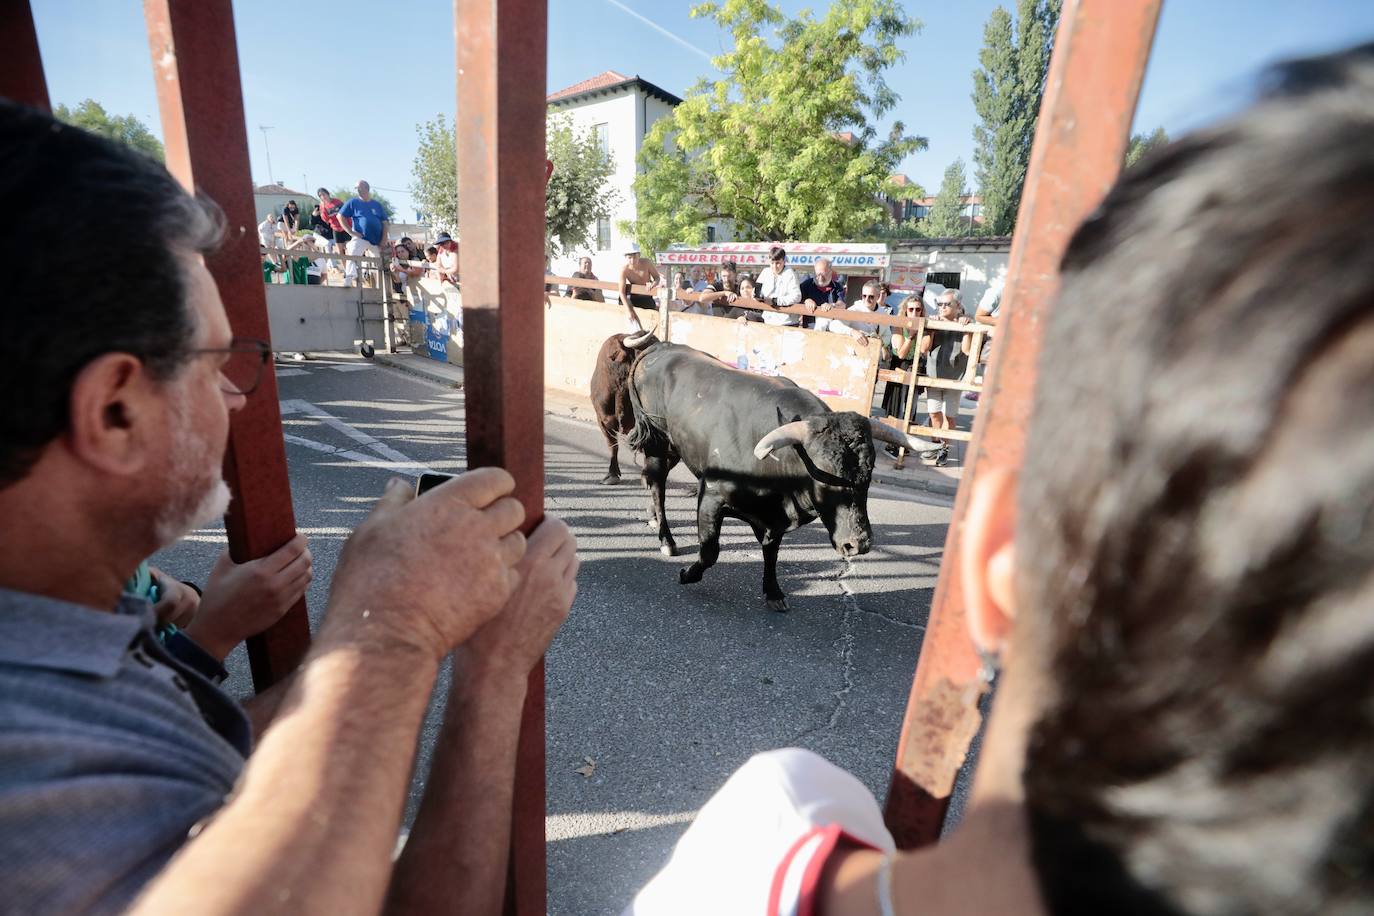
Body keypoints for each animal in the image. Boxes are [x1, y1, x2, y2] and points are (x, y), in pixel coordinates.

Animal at [615, 336, 923, 609]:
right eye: (825, 476)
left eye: (868, 474)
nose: (858, 544)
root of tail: (662, 346)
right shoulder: (712, 495)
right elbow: (711, 551)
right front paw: (688, 574)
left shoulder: (774, 520)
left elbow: (772, 553)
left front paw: (773, 592)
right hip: (658, 443)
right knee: (657, 485)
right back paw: (666, 540)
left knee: (649, 479)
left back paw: (652, 518)